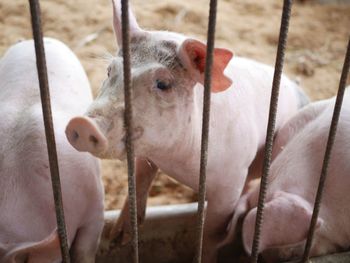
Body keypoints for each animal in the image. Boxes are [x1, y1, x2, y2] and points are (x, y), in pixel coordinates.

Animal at [64, 1, 308, 262]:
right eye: (110, 71)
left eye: (163, 84)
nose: (81, 123)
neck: (176, 162)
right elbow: (139, 177)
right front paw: (120, 236)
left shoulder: (230, 183)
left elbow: (211, 233)